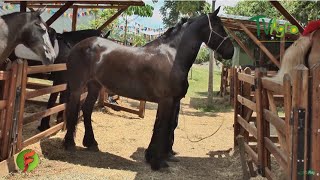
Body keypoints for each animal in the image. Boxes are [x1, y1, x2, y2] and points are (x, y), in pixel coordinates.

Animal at [63, 7, 232, 170]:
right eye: (219, 26)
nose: (231, 51)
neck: (172, 57)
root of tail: (78, 46)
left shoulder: (171, 101)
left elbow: (162, 126)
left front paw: (152, 157)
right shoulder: (166, 100)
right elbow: (162, 127)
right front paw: (158, 162)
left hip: (94, 86)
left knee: (86, 109)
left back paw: (91, 143)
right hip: (78, 87)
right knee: (73, 109)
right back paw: (69, 144)